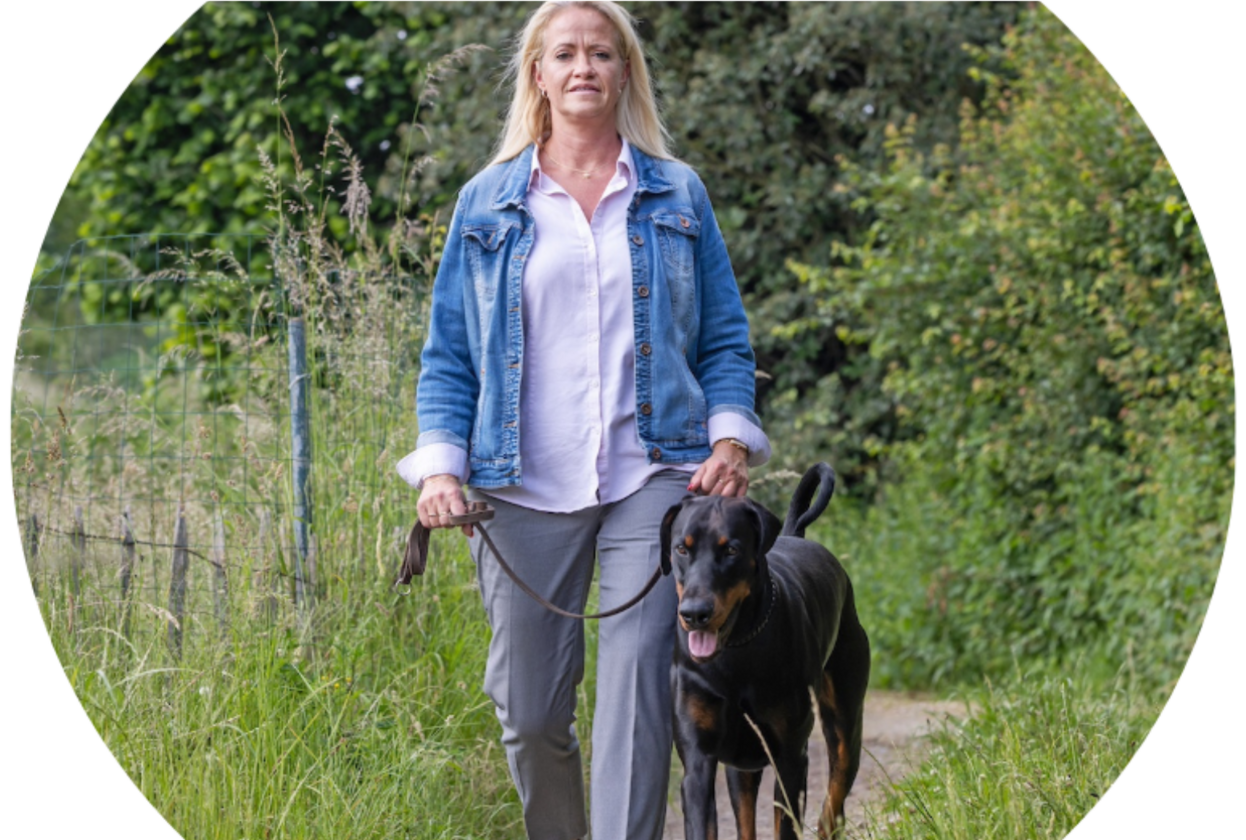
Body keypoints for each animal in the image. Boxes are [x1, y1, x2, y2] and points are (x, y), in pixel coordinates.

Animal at [662, 461, 867, 832]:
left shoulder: (790, 757)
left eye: (731, 549)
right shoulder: (697, 760)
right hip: (740, 763)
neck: (736, 653)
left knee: (835, 800)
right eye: (681, 548)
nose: (694, 614)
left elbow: (786, 821)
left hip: (845, 719)